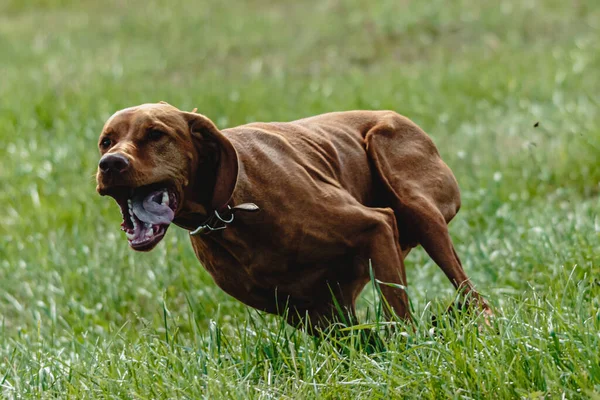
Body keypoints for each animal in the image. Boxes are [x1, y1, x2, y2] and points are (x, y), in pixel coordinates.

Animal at [95, 102, 488, 332]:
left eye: (156, 134)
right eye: (105, 141)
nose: (110, 164)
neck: (229, 212)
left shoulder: (377, 226)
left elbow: (399, 319)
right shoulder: (308, 310)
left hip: (409, 190)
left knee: (474, 297)